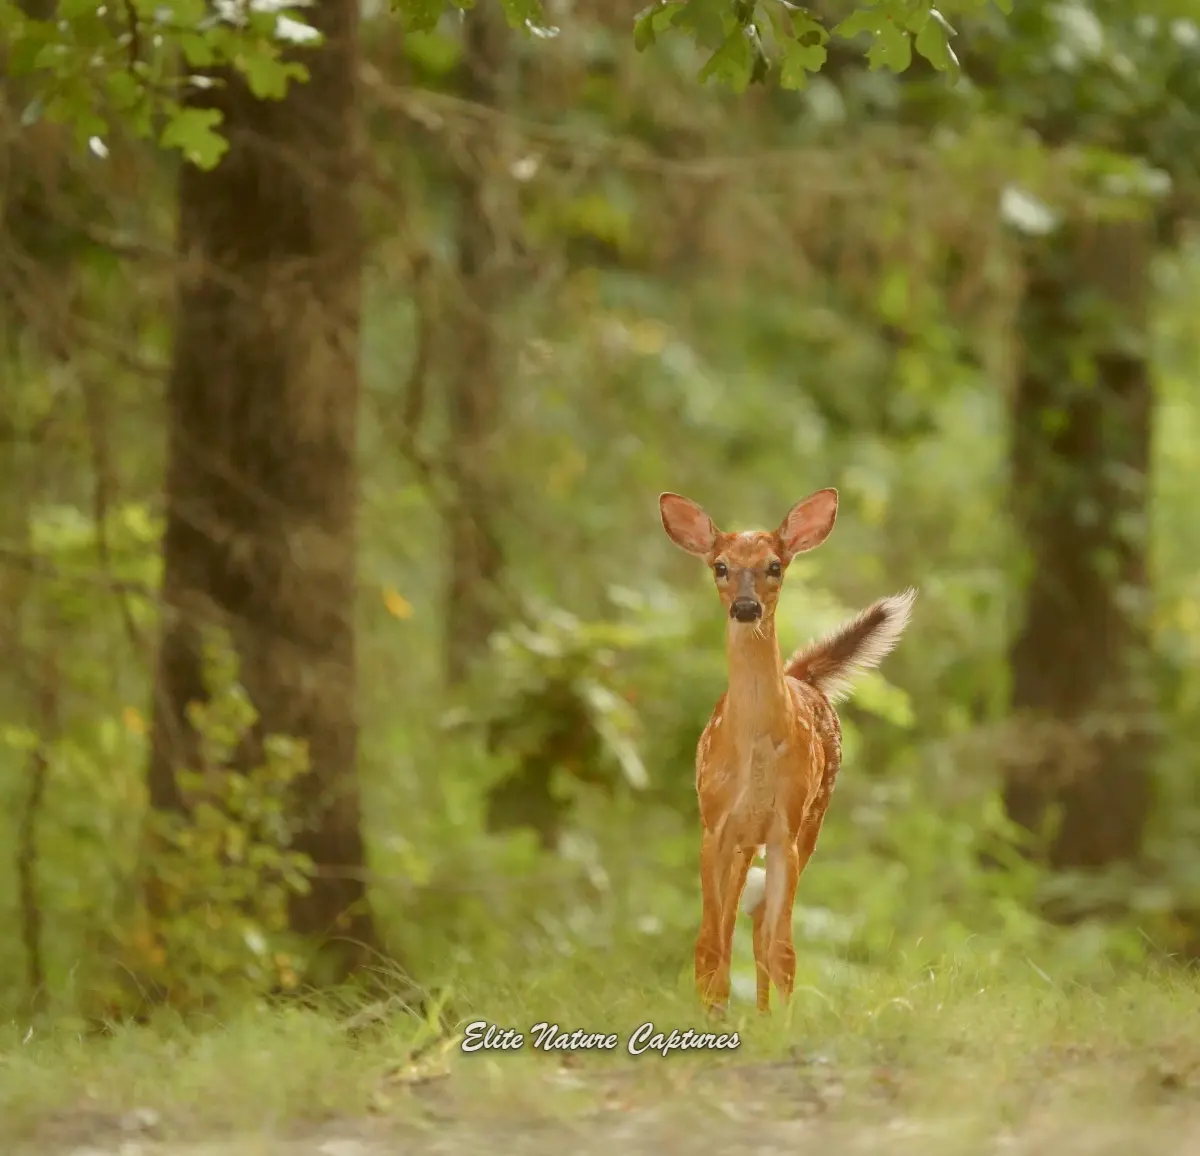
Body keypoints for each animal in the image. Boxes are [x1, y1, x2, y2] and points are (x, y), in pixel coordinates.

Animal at [658, 487, 916, 1014]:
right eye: (719, 566)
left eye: (775, 565)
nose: (745, 607)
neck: (754, 749)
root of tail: (802, 676)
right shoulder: (715, 823)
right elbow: (710, 940)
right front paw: (714, 1014)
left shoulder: (785, 828)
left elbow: (782, 948)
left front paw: (779, 1022)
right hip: (743, 838)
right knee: (727, 929)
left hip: (813, 817)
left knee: (760, 928)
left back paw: (760, 1013)